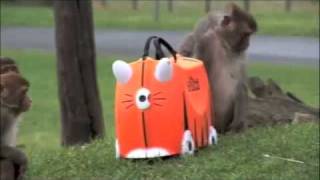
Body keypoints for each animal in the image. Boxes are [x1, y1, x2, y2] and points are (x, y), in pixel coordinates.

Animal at [180, 2, 258, 132]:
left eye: (249, 35)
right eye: (245, 34)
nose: (248, 43)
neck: (223, 43)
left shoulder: (240, 53)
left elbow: (241, 83)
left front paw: (239, 125)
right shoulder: (205, 42)